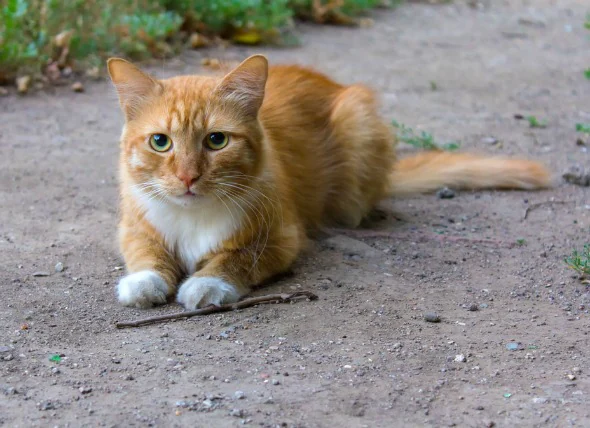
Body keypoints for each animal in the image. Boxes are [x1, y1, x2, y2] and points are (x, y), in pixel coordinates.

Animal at [106, 55, 552, 310]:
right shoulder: (135, 226)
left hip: (357, 133)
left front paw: (205, 285)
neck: (194, 217)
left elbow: (234, 259)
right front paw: (144, 283)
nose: (187, 176)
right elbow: (147, 254)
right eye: (160, 142)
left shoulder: (281, 238)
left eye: (216, 140)